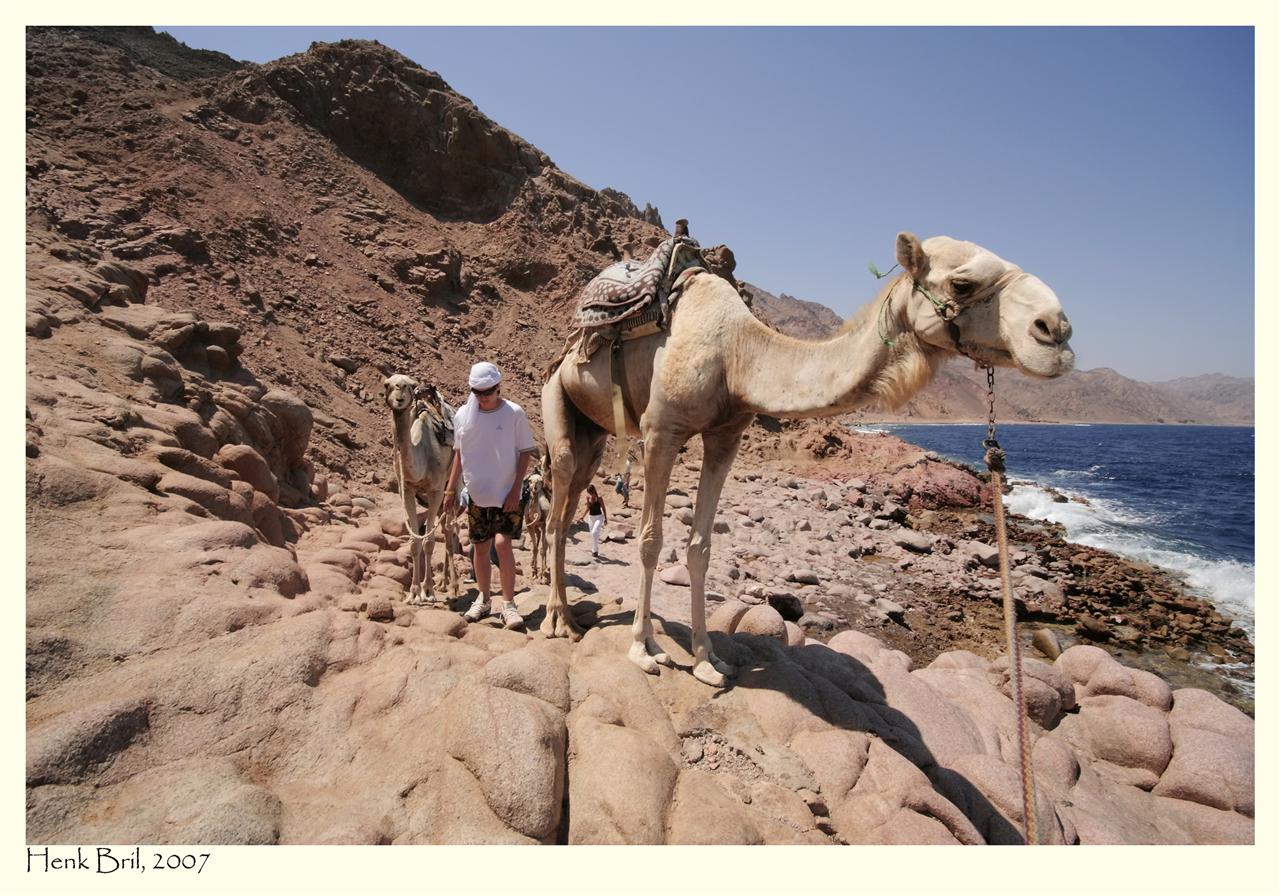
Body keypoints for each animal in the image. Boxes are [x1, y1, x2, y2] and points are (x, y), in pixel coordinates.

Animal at [381, 373, 463, 606]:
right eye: (387, 384)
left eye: (410, 385)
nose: (399, 398)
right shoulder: (407, 490)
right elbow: (414, 541)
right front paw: (414, 593)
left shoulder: (436, 489)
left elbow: (428, 541)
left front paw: (428, 591)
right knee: (445, 527)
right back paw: (444, 582)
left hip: (454, 485)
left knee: (450, 528)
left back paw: (452, 586)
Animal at [542, 230, 1080, 686]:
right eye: (962, 283)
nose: (1056, 330)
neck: (737, 354)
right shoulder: (661, 431)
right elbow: (651, 541)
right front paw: (644, 648)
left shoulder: (726, 435)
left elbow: (700, 548)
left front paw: (707, 660)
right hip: (558, 402)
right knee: (557, 509)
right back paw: (557, 621)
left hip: (595, 435)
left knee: (567, 507)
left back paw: (565, 614)